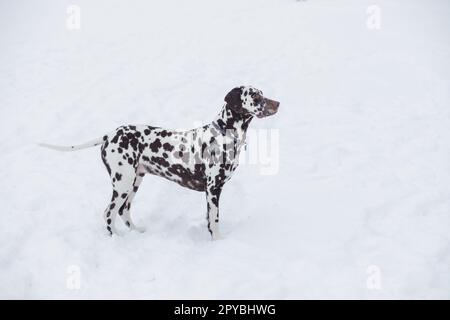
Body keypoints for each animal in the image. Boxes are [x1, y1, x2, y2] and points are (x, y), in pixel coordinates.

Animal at [39, 86, 278, 239]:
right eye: (255, 95)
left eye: (262, 93)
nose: (278, 103)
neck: (224, 135)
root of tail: (109, 135)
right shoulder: (213, 189)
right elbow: (215, 220)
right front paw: (218, 243)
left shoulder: (211, 193)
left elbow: (210, 221)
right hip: (123, 183)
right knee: (109, 213)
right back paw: (117, 239)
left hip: (135, 182)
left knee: (123, 211)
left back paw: (136, 233)